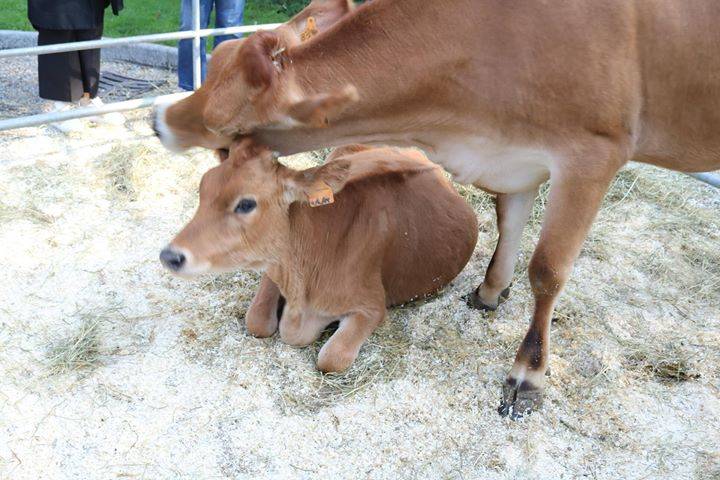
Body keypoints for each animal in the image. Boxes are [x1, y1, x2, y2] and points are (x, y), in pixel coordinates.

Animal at [162, 142, 478, 372]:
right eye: (203, 188)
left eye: (246, 204)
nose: (169, 255)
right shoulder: (274, 266)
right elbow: (257, 321)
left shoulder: (372, 307)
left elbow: (331, 359)